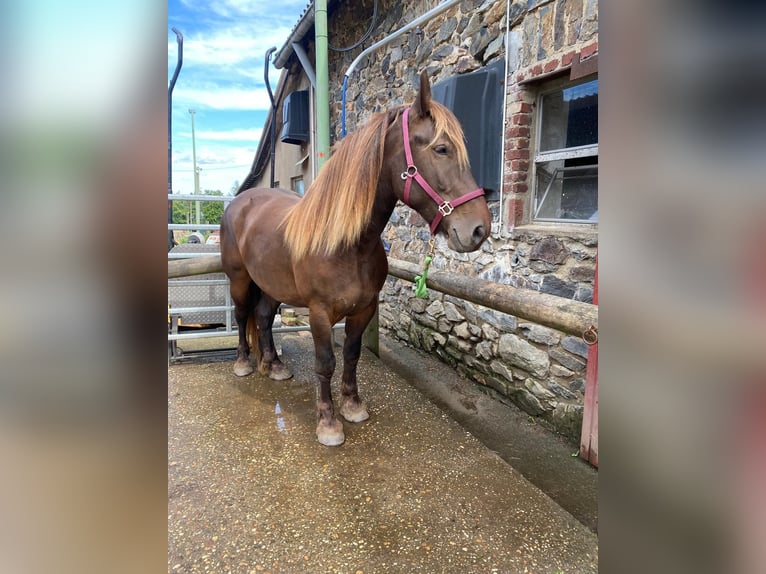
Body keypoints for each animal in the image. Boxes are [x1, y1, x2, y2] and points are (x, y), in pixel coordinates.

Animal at [220, 72, 492, 448]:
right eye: (441, 149)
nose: (479, 229)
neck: (347, 246)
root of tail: (238, 202)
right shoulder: (319, 313)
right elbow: (325, 363)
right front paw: (328, 422)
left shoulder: (364, 308)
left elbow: (351, 355)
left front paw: (352, 406)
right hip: (240, 280)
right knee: (242, 314)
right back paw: (244, 363)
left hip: (272, 285)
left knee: (261, 318)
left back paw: (274, 366)